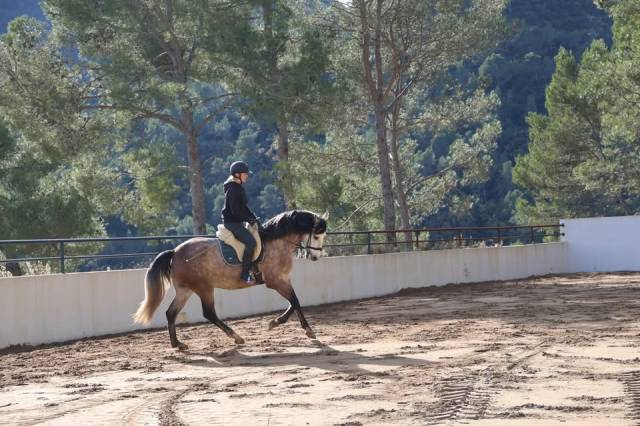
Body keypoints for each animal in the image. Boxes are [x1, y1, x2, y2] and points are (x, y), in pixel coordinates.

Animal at [132, 210, 328, 350]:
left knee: (171, 313)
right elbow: (295, 301)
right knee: (209, 313)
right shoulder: (276, 282)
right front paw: (306, 330)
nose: (316, 257)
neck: (276, 242)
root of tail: (175, 252)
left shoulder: (283, 281)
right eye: (316, 236)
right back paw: (236, 337)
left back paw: (177, 344)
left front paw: (276, 323)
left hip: (185, 290)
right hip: (204, 288)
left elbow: (294, 302)